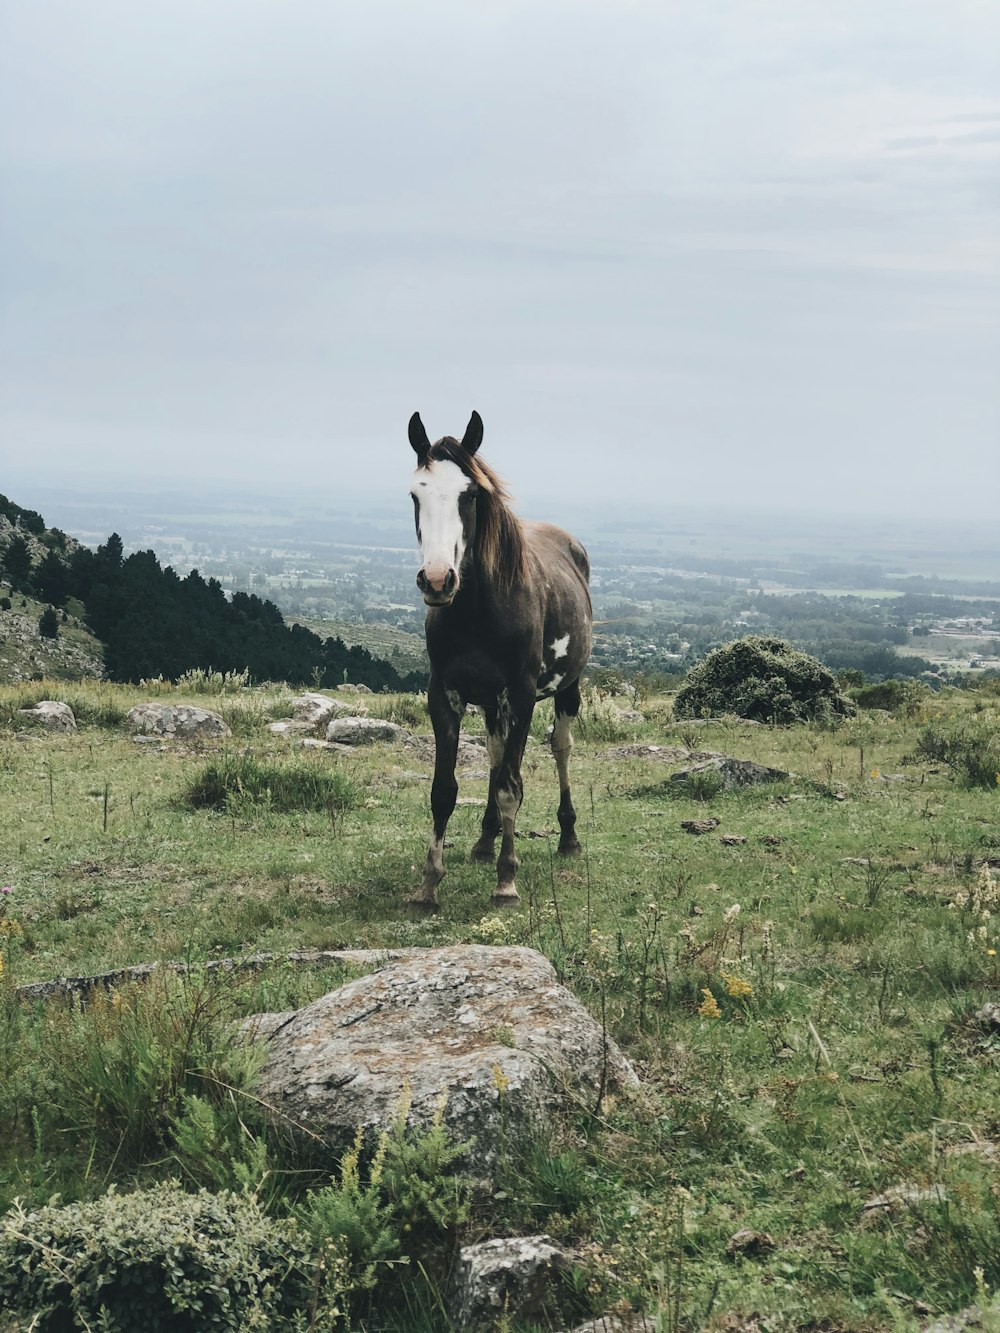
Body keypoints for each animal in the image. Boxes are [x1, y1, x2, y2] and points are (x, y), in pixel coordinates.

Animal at [408, 410, 594, 911]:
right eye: (415, 493)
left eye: (471, 494)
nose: (438, 581)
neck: (478, 612)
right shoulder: (444, 694)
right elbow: (444, 790)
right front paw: (430, 884)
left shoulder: (522, 694)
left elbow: (512, 786)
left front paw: (506, 881)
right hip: (492, 703)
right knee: (494, 754)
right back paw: (485, 840)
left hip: (566, 690)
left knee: (560, 748)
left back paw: (568, 837)